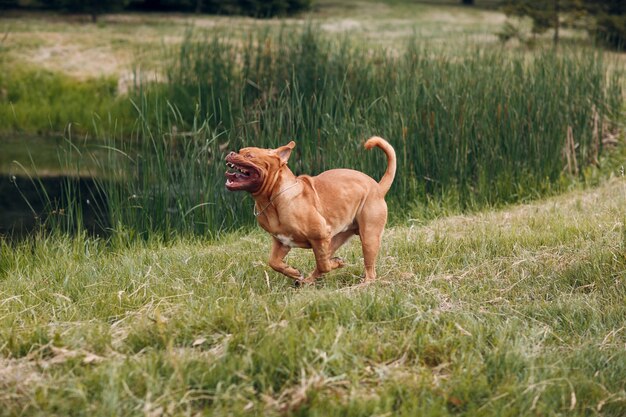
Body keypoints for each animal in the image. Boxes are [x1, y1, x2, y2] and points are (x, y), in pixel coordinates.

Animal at [224, 136, 394, 282]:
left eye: (249, 155)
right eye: (239, 151)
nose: (231, 153)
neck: (272, 200)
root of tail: (378, 187)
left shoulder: (319, 236)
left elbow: (324, 265)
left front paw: (335, 264)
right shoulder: (282, 242)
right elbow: (274, 262)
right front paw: (293, 272)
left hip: (369, 237)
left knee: (368, 270)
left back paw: (362, 284)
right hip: (335, 239)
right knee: (322, 262)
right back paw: (307, 281)